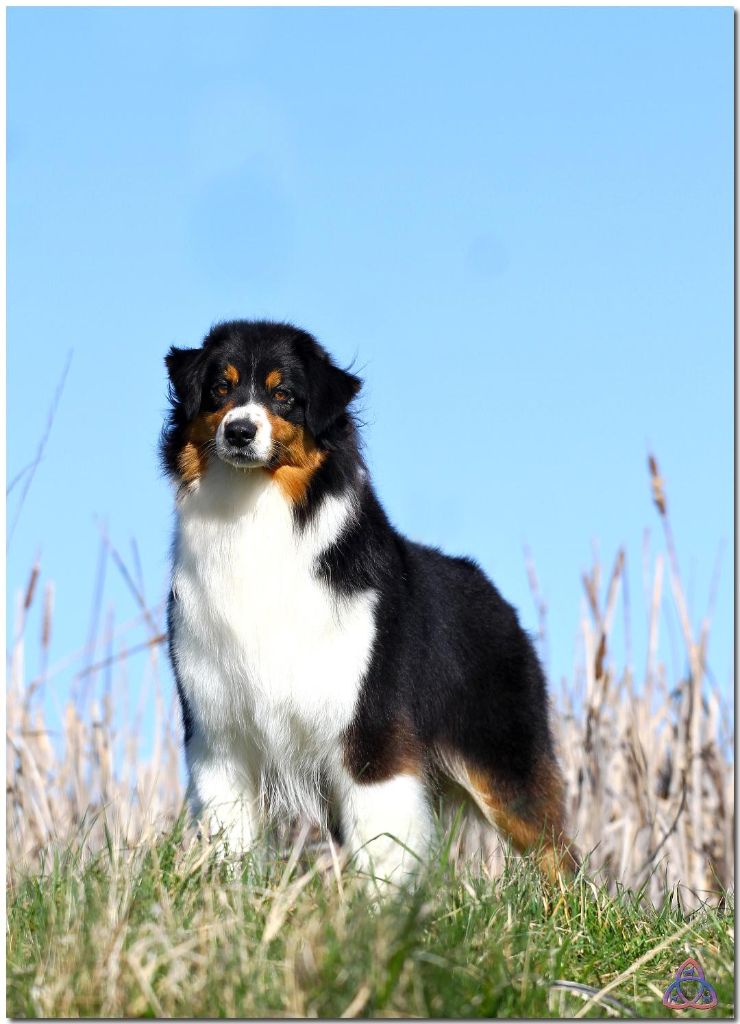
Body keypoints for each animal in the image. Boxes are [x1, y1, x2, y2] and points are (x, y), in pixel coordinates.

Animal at [161, 321, 577, 888]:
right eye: (220, 389)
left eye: (283, 395)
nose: (240, 431)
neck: (253, 518)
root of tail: (501, 604)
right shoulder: (218, 736)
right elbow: (231, 843)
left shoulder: (371, 732)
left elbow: (383, 844)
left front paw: (380, 903)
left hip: (505, 768)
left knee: (560, 857)